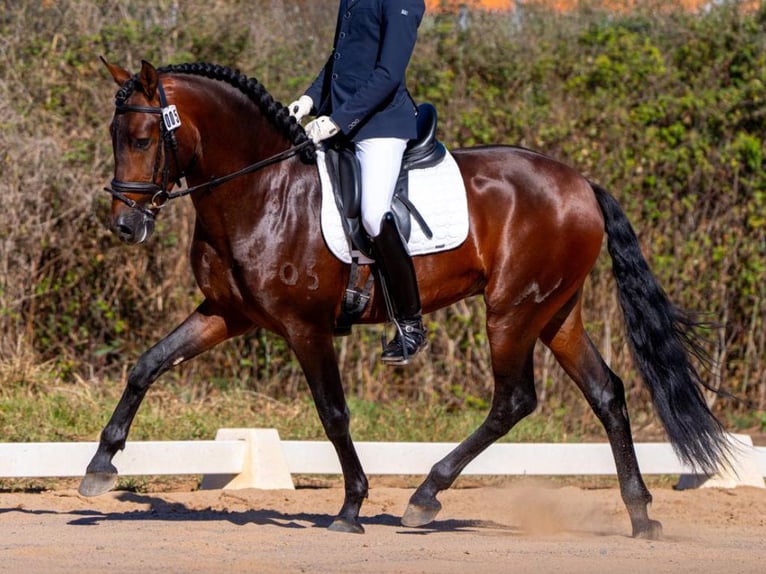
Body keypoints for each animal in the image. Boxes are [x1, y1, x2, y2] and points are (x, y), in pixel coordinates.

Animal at [84, 59, 732, 540]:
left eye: (142, 138)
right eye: (114, 137)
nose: (125, 226)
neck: (262, 189)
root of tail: (582, 185)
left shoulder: (305, 327)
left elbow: (334, 413)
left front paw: (351, 507)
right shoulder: (229, 314)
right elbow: (147, 365)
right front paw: (100, 466)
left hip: (513, 311)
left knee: (514, 400)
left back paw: (425, 496)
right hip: (556, 312)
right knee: (606, 392)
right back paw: (641, 515)